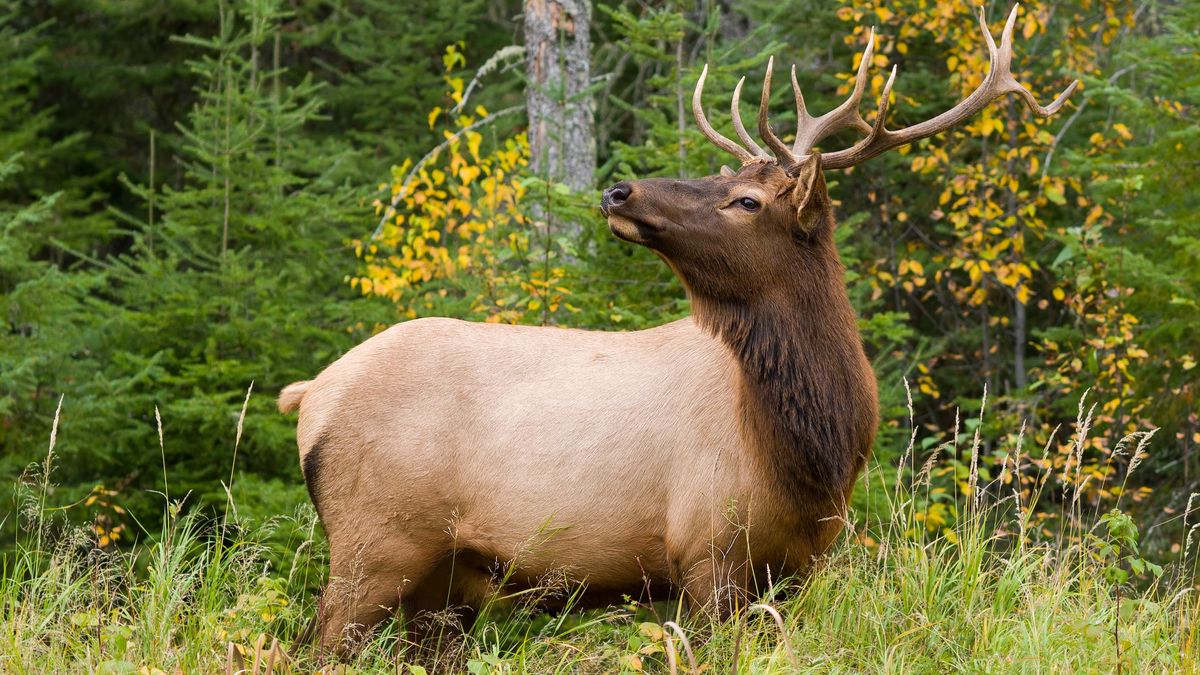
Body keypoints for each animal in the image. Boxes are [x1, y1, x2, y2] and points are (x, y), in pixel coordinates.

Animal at [283, 6, 1080, 653]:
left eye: (746, 198)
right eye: (729, 181)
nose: (618, 189)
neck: (809, 455)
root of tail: (311, 394)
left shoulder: (799, 569)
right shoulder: (706, 553)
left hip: (444, 580)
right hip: (373, 542)